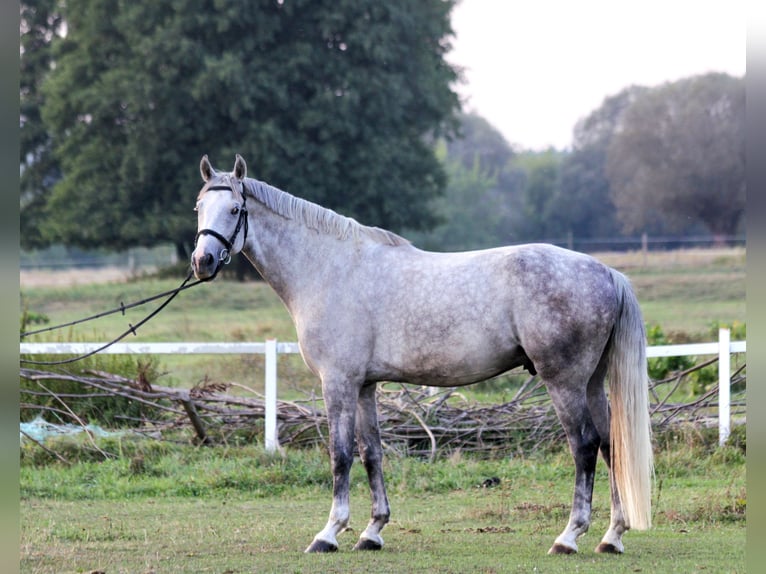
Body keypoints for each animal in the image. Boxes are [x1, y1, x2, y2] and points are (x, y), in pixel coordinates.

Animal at [190, 156, 656, 560]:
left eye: (235, 208)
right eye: (199, 207)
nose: (202, 261)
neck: (328, 268)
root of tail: (606, 273)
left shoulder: (337, 381)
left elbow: (340, 454)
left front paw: (329, 533)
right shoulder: (364, 386)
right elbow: (371, 453)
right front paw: (372, 531)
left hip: (564, 381)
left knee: (585, 445)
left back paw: (569, 537)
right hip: (591, 381)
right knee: (611, 444)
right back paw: (612, 536)